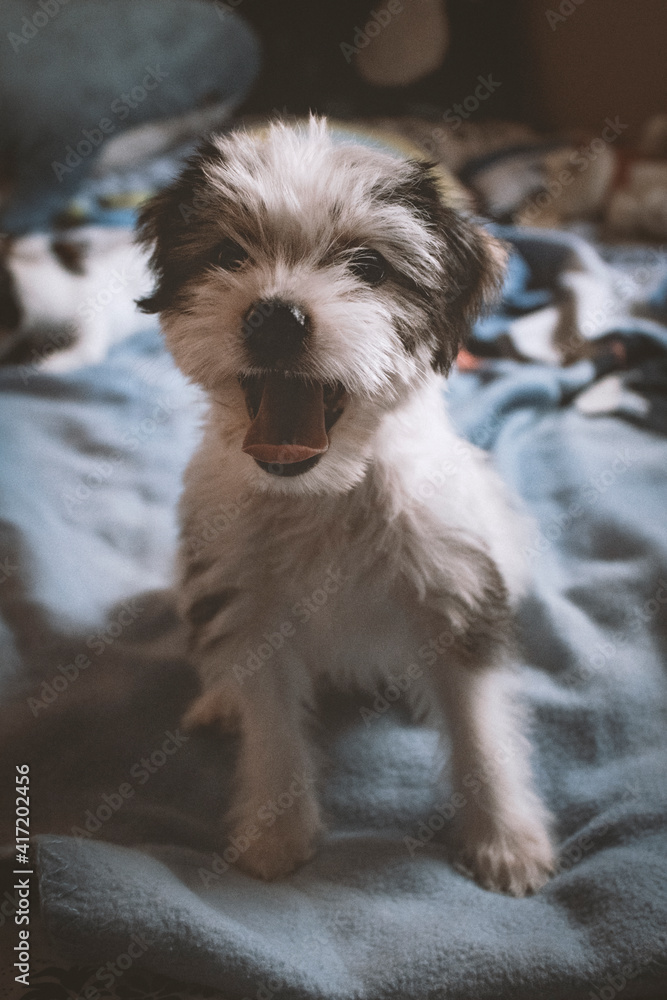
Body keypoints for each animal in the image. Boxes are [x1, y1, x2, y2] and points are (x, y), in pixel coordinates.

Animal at [138, 119, 556, 900]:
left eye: (368, 266)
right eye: (228, 255)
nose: (274, 316)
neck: (326, 491)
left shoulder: (457, 592)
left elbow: (481, 727)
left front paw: (504, 837)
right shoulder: (245, 603)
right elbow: (271, 724)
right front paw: (275, 831)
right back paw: (219, 699)